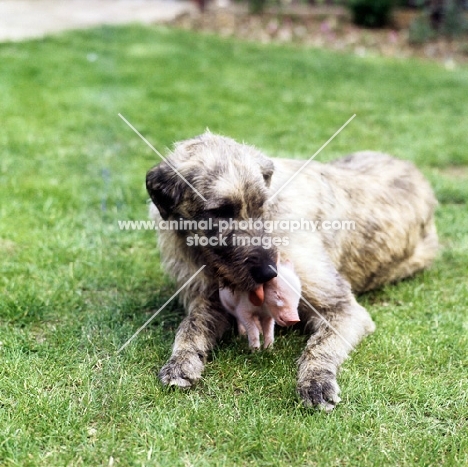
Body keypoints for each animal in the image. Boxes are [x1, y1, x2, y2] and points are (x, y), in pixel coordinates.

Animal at [144, 131, 436, 410]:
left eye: (261, 205)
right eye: (219, 212)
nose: (269, 272)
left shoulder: (341, 307)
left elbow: (320, 345)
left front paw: (316, 380)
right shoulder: (208, 301)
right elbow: (190, 326)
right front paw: (181, 361)